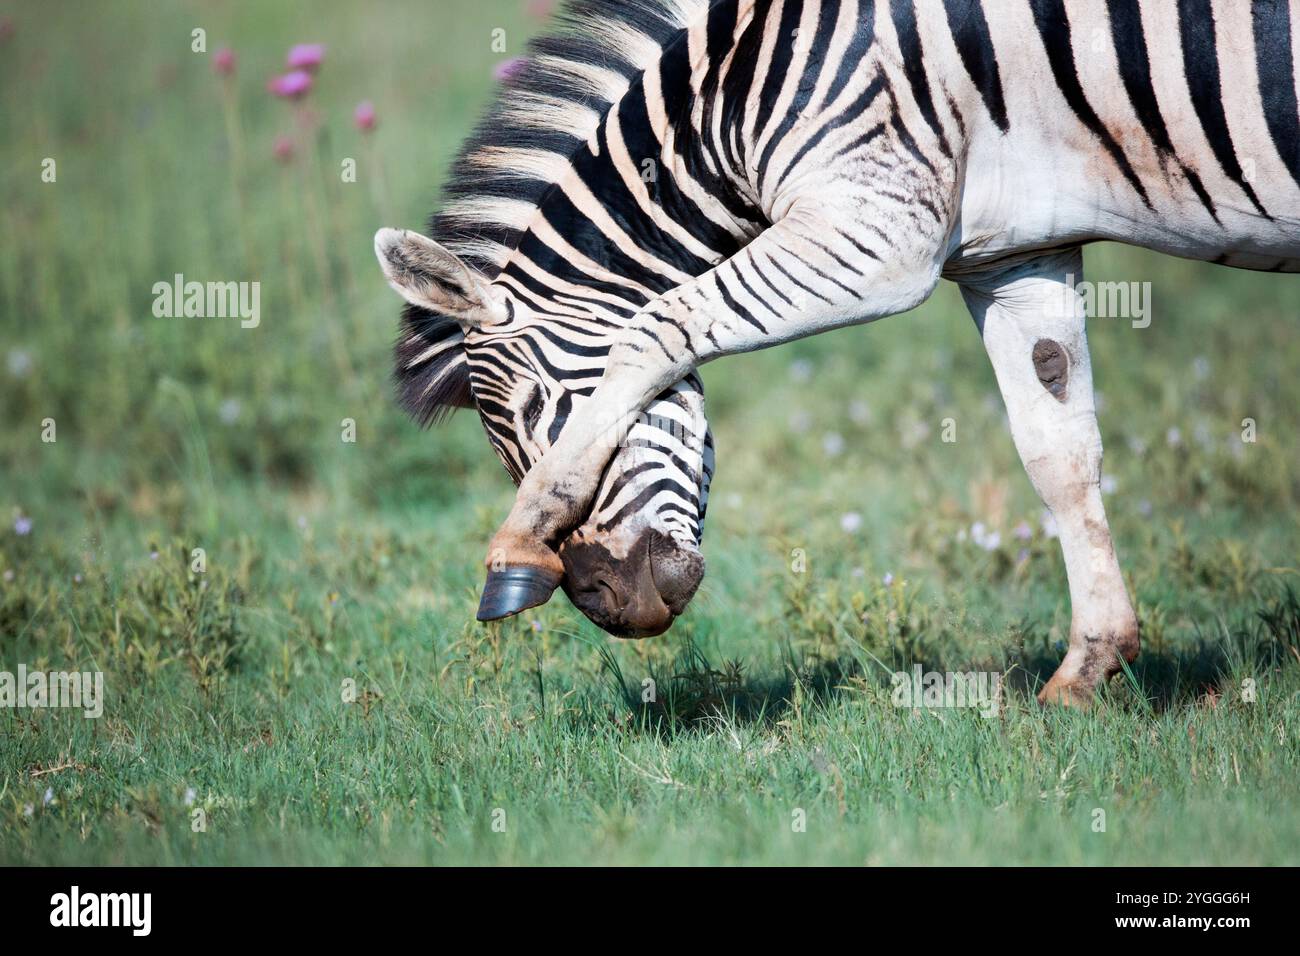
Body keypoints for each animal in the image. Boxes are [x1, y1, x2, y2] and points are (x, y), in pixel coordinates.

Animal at [375, 0, 1299, 706]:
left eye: (542, 412)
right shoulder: (1015, 255)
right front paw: (1089, 667)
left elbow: (656, 327)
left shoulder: (877, 231)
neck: (738, 97)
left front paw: (516, 541)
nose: (612, 610)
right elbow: (1057, 454)